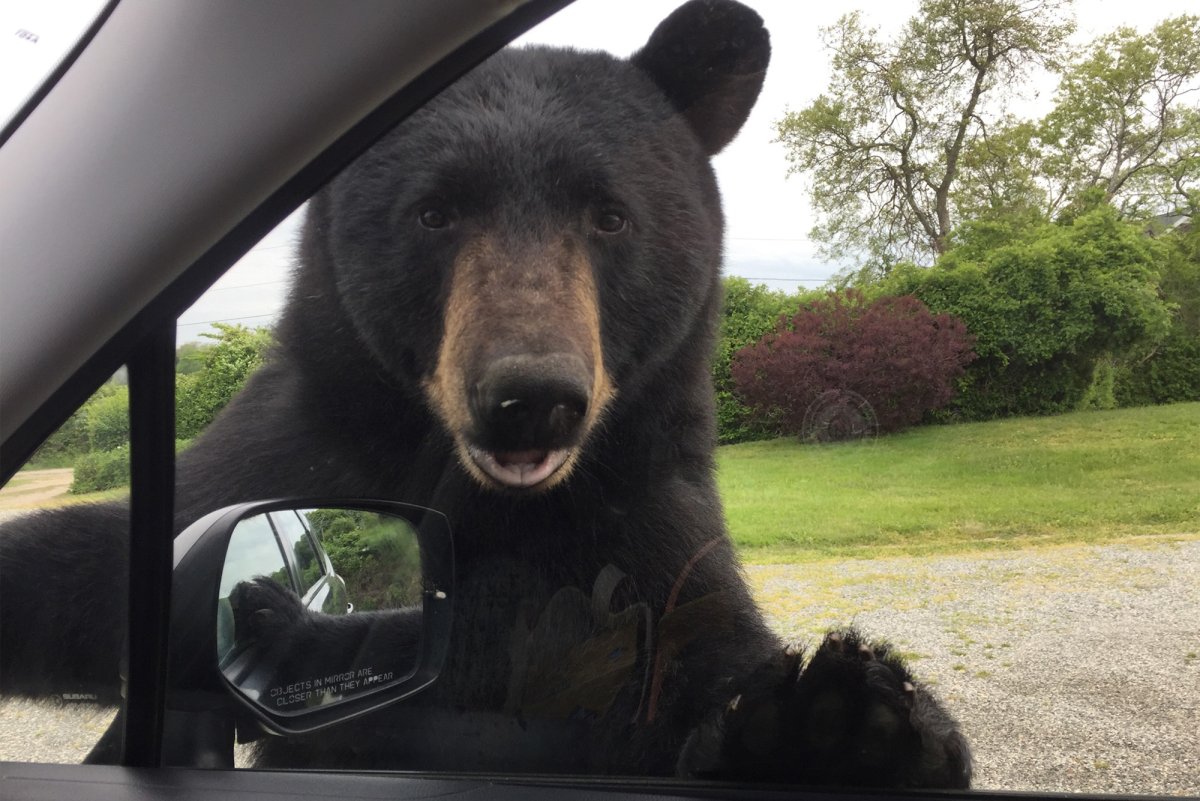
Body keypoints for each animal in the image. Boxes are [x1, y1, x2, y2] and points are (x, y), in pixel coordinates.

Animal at [0, 0, 970, 787]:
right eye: (435, 211)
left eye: (609, 214)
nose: (530, 395)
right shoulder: (287, 450)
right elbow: (109, 567)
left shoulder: (644, 516)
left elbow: (700, 653)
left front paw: (840, 721)